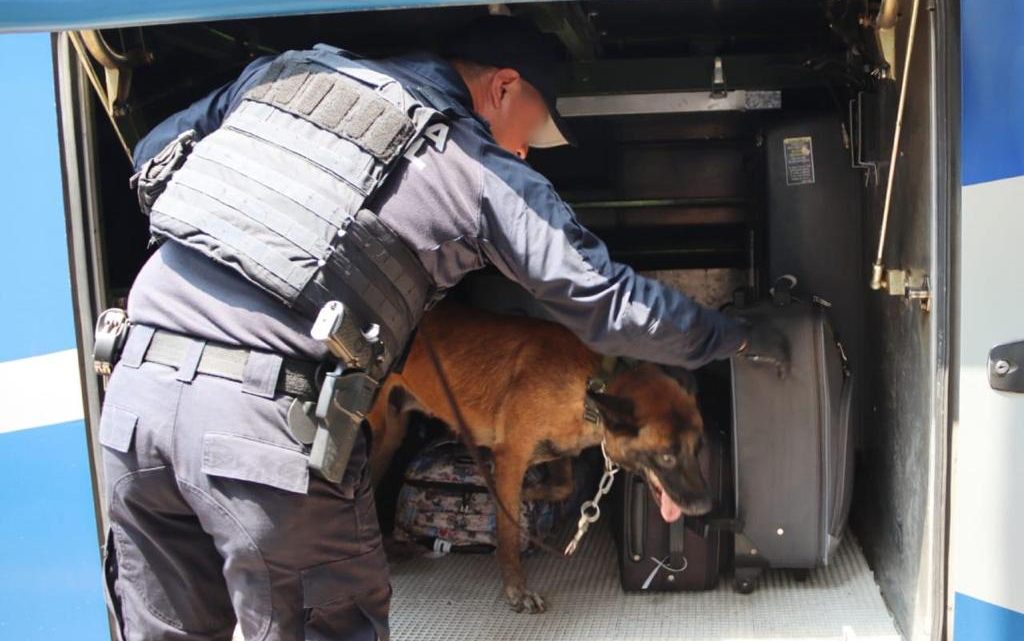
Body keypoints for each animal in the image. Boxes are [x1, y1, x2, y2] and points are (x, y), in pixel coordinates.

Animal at [368, 301, 712, 610]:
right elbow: (508, 536)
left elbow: (563, 486)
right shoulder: (510, 458)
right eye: (666, 457)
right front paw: (516, 590)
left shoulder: (557, 450)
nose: (705, 506)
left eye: (698, 449)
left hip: (392, 435)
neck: (590, 386)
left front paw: (532, 493)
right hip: (379, 433)